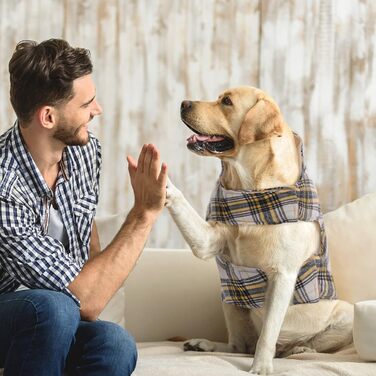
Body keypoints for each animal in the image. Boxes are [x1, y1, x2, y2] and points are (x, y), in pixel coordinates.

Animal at [166, 86, 354, 374]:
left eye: (227, 102)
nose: (184, 103)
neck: (251, 191)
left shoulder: (282, 276)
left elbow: (268, 333)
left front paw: (261, 367)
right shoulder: (208, 241)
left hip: (344, 313)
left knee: (298, 345)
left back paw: (298, 348)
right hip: (229, 298)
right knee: (239, 346)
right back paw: (204, 344)